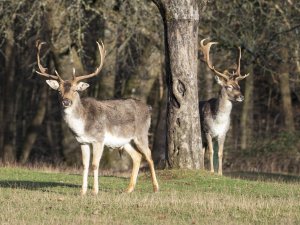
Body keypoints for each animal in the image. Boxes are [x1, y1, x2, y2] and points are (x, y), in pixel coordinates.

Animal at [35, 40, 159, 195]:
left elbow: (94, 165)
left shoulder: (99, 139)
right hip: (125, 141)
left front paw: (94, 191)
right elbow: (84, 165)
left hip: (142, 134)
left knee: (149, 155)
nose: (66, 102)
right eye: (59, 91)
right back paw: (128, 189)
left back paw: (155, 188)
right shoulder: (82, 142)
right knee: (137, 156)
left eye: (75, 90)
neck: (82, 126)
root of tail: (148, 108)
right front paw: (82, 192)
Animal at [198, 38, 250, 176]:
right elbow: (211, 152)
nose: (241, 96)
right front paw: (211, 171)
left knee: (202, 150)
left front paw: (220, 173)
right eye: (229, 86)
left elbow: (220, 153)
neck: (218, 121)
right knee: (203, 151)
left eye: (238, 85)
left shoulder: (223, 133)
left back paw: (202, 169)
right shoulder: (207, 131)